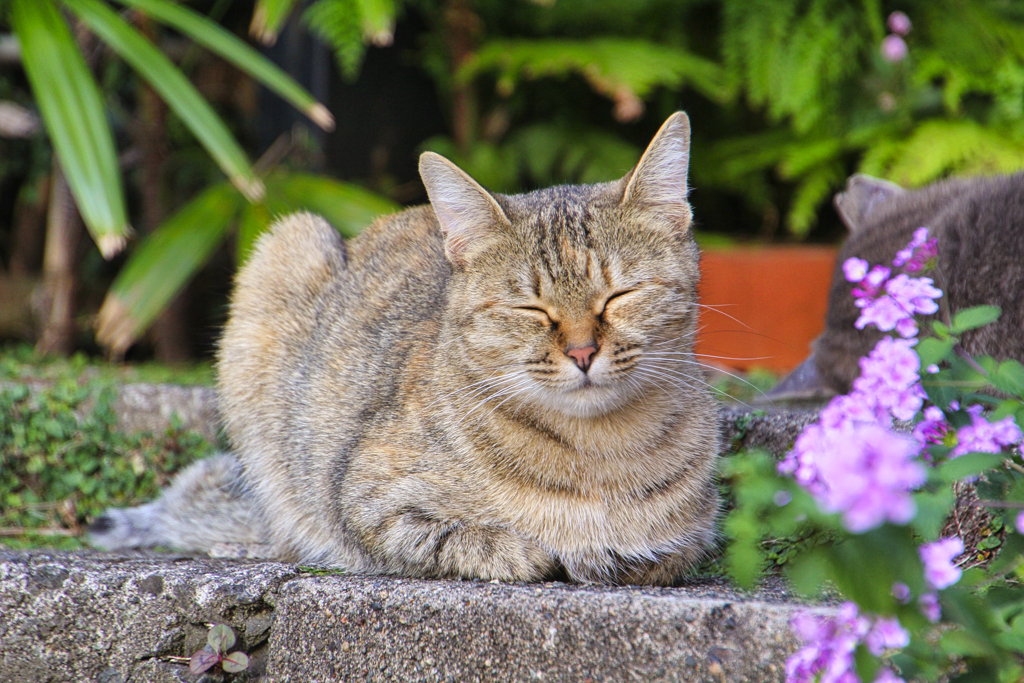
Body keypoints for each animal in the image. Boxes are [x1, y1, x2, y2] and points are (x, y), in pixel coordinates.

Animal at [92, 113, 724, 589]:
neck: (595, 454)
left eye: (621, 295)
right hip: (285, 249)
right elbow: (471, 542)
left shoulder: (692, 535)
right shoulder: (364, 501)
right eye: (529, 308)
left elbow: (653, 554)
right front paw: (534, 550)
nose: (583, 351)